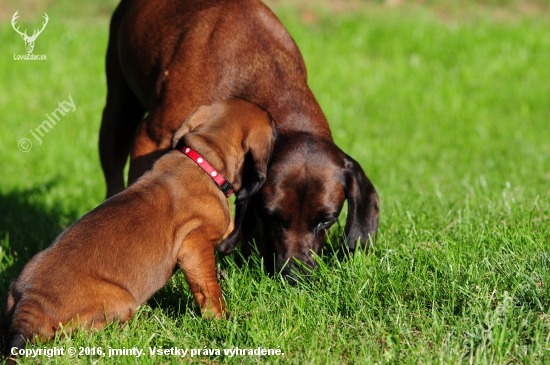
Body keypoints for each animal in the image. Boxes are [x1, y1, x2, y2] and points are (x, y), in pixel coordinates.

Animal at [0, 99, 276, 356]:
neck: (205, 160)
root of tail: (30, 304)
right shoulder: (195, 249)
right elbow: (209, 290)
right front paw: (223, 319)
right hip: (123, 300)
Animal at [100, 0, 380, 276]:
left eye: (327, 220)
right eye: (271, 216)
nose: (294, 276)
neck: (262, 66)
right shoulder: (152, 138)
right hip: (117, 110)